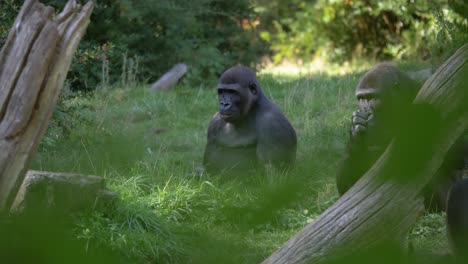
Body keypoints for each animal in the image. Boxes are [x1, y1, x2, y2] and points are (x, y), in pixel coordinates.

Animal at [336, 62, 464, 212]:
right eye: (362, 99)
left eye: (373, 97)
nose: (366, 110)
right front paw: (356, 132)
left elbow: (456, 152)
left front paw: (379, 127)